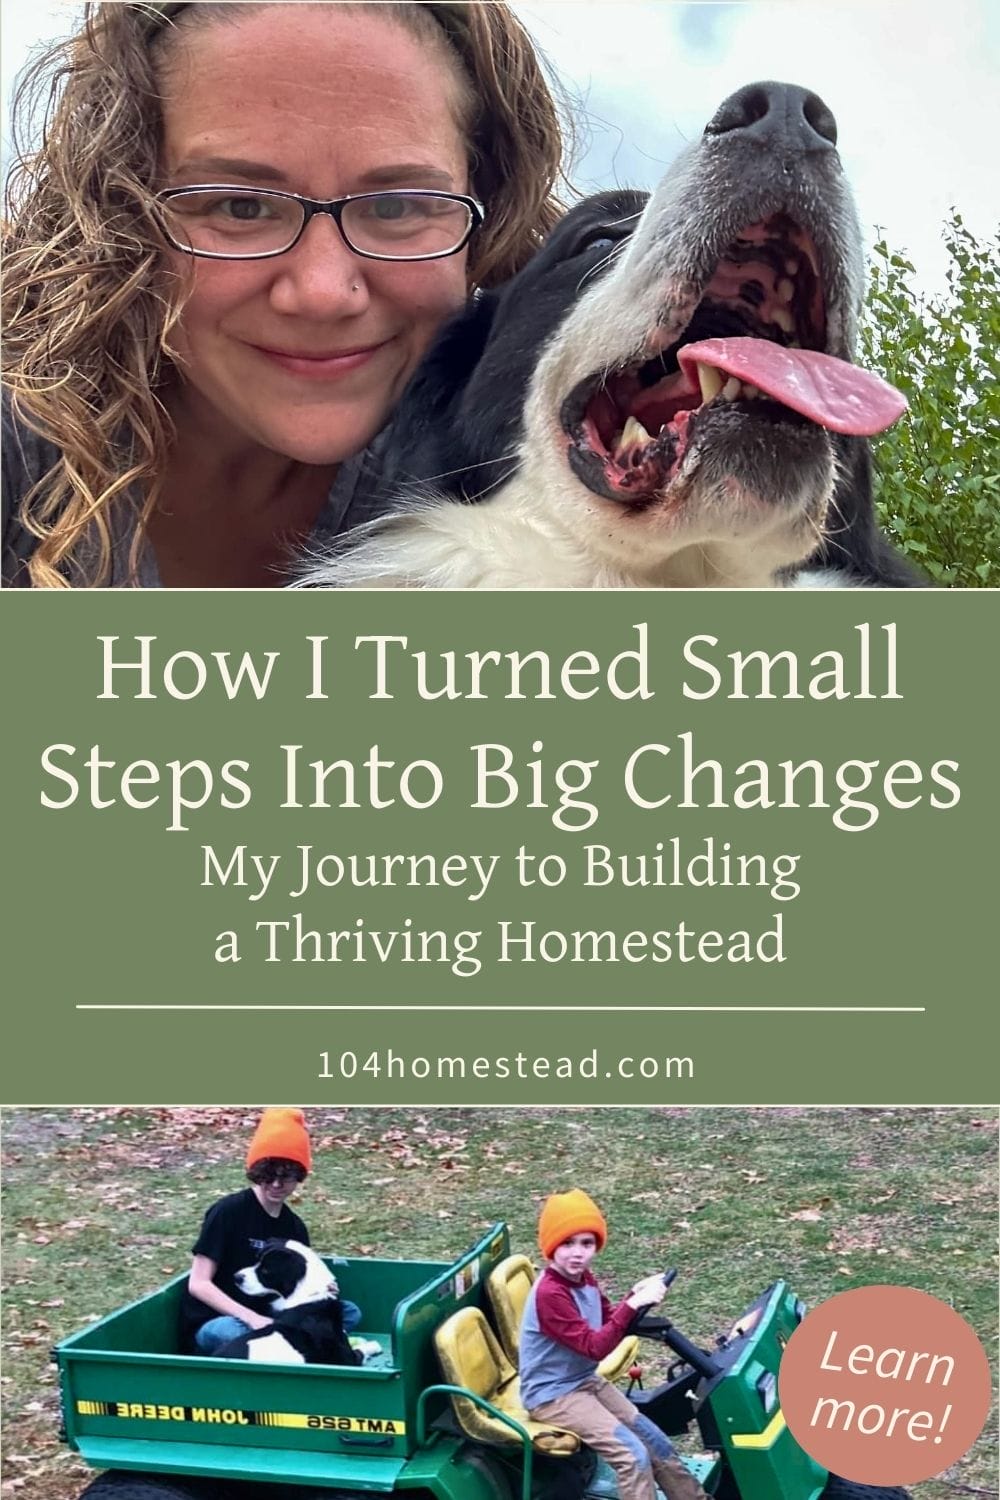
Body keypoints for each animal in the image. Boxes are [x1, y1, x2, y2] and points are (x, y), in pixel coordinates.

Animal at [217, 1236, 377, 1368]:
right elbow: (360, 1350)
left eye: (265, 1270)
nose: (237, 1277)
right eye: (257, 1261)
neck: (307, 1292)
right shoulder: (344, 1357)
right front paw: (373, 1345)